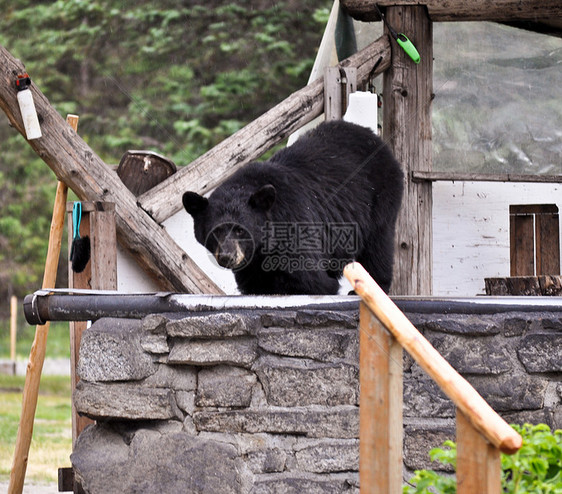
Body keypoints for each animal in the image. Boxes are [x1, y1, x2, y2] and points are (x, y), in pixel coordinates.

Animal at [183, 120, 402, 296]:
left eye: (240, 230)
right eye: (216, 231)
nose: (228, 256)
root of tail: (374, 137)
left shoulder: (295, 223)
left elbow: (311, 279)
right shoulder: (251, 263)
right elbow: (255, 283)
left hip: (380, 195)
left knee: (377, 244)